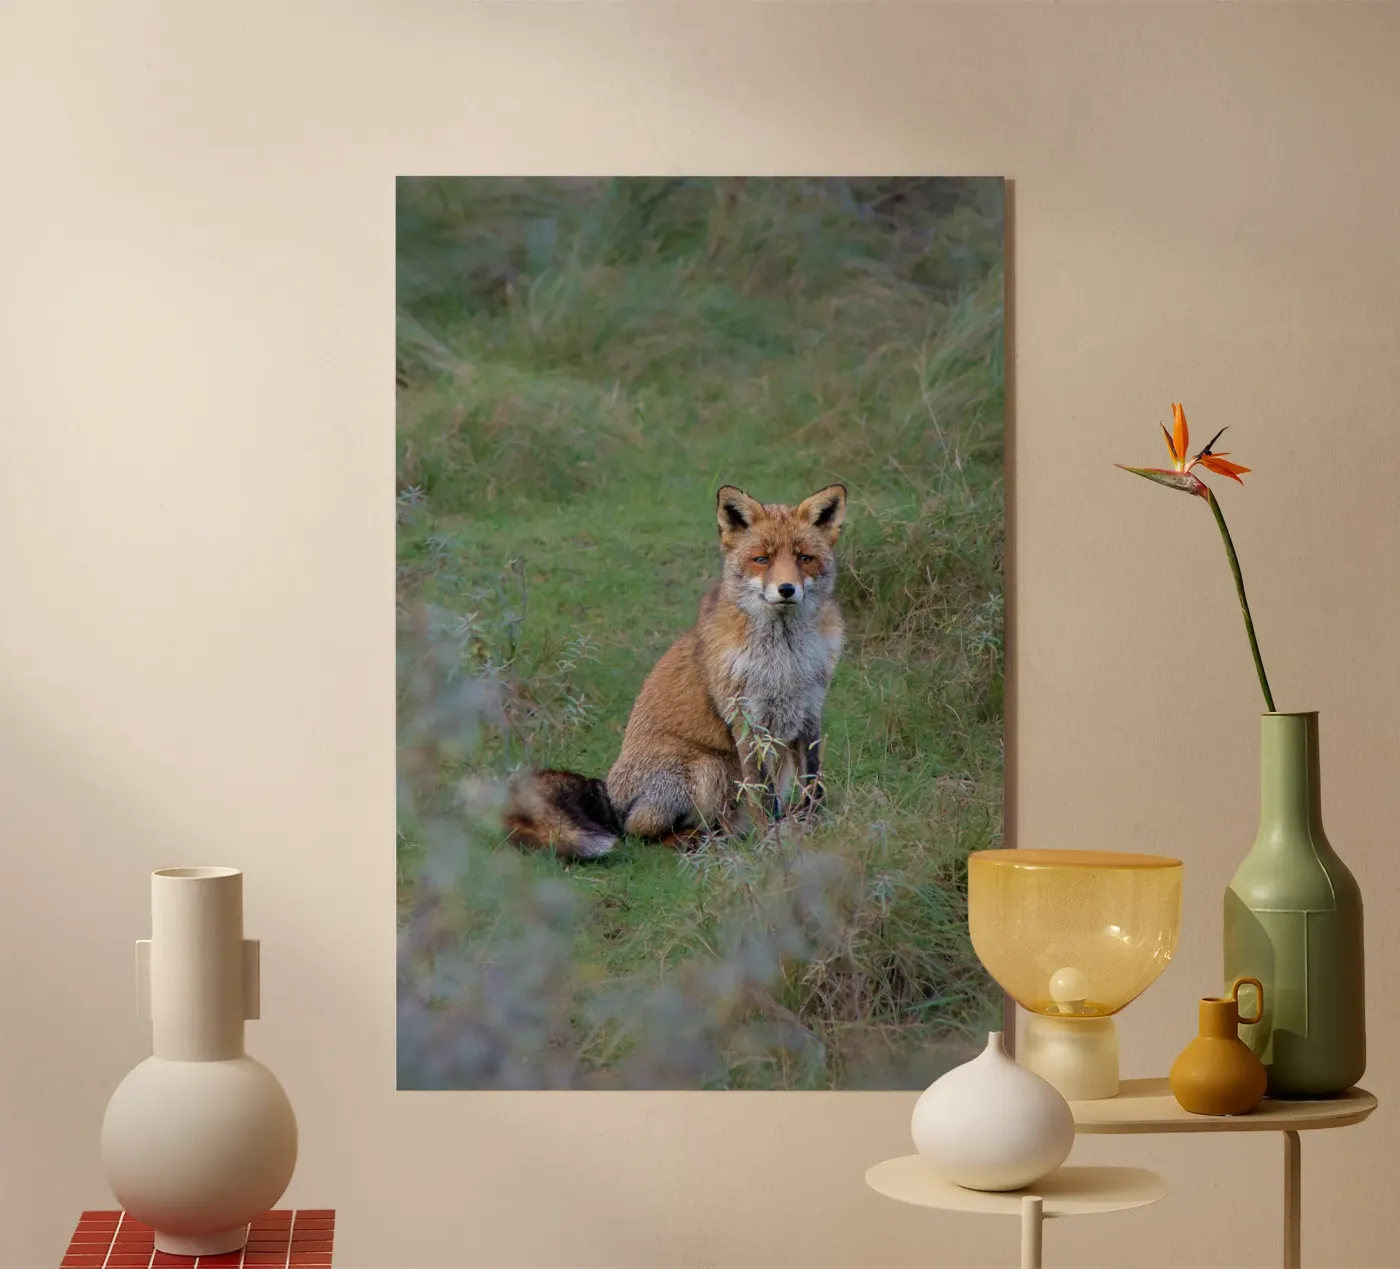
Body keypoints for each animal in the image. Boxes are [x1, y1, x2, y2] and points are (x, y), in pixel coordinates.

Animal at [503, 482, 848, 859]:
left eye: (804, 558)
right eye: (762, 559)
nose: (786, 590)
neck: (786, 657)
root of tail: (611, 797)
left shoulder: (809, 709)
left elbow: (814, 783)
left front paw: (813, 829)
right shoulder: (746, 717)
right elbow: (762, 792)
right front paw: (774, 842)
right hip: (707, 768)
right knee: (637, 831)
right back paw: (691, 839)